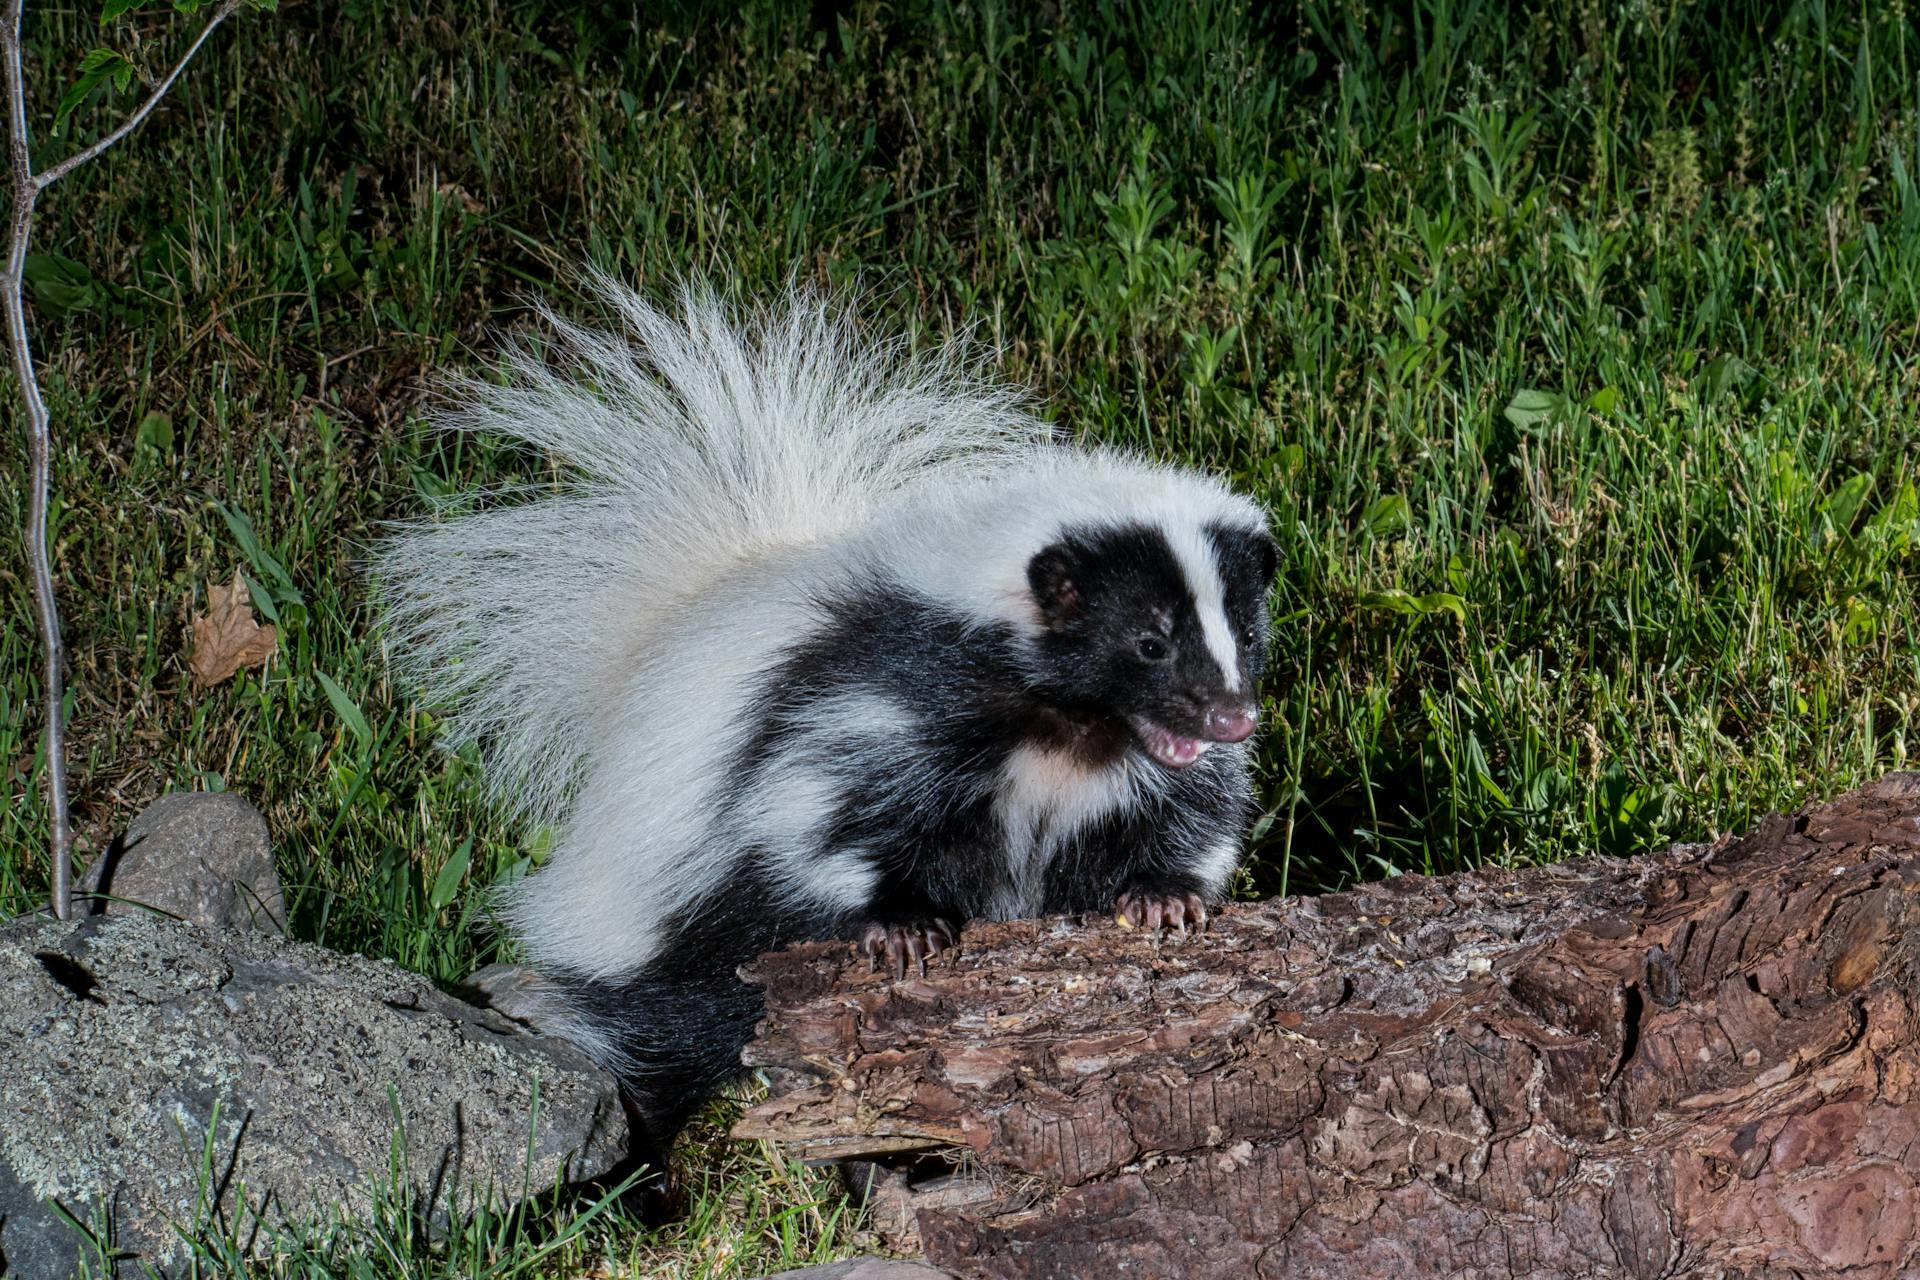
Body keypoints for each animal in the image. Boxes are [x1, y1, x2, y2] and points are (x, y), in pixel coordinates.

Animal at [372, 282, 1274, 1189]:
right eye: (1148, 641)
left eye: (1244, 631)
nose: (1231, 716)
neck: (1068, 735)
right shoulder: (877, 703)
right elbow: (816, 815)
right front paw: (903, 926)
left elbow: (1194, 814)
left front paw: (1163, 899)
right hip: (669, 935)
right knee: (654, 1047)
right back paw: (643, 1182)